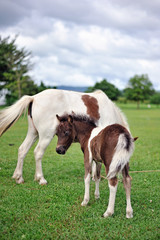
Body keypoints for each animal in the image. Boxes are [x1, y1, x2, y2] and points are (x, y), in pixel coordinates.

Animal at [0, 89, 129, 185]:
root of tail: (34, 98)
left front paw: (94, 176)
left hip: (33, 133)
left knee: (22, 150)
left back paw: (19, 177)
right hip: (46, 136)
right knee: (38, 152)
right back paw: (41, 179)